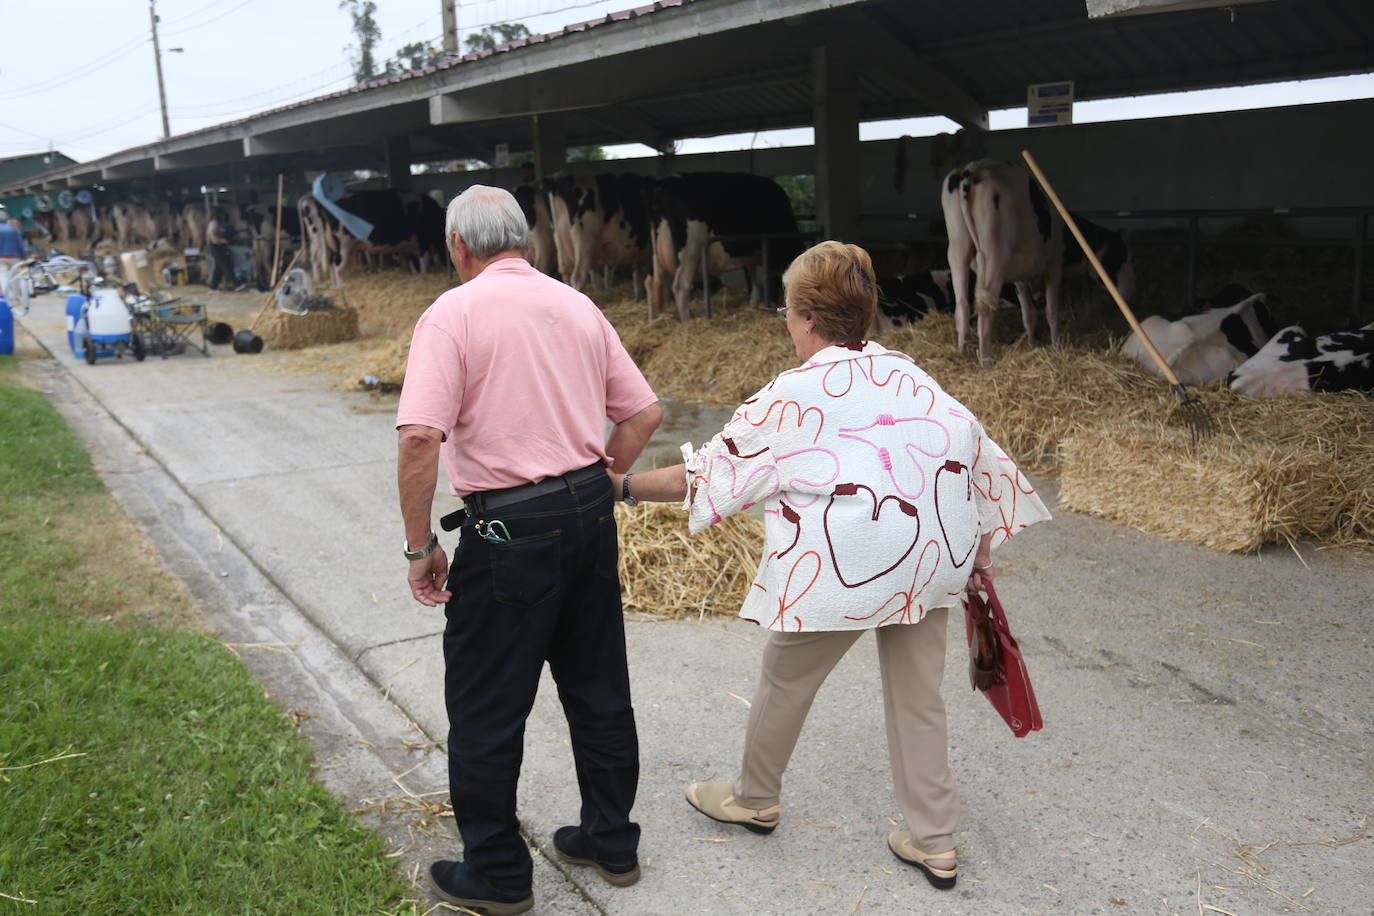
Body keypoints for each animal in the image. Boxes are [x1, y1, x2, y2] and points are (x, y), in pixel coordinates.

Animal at [648, 171, 802, 322]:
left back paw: (658, 316)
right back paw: (687, 320)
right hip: (690, 251)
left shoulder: (750, 256)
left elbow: (752, 278)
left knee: (655, 282)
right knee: (681, 285)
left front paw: (753, 303)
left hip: (657, 253)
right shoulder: (770, 253)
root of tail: (662, 185)